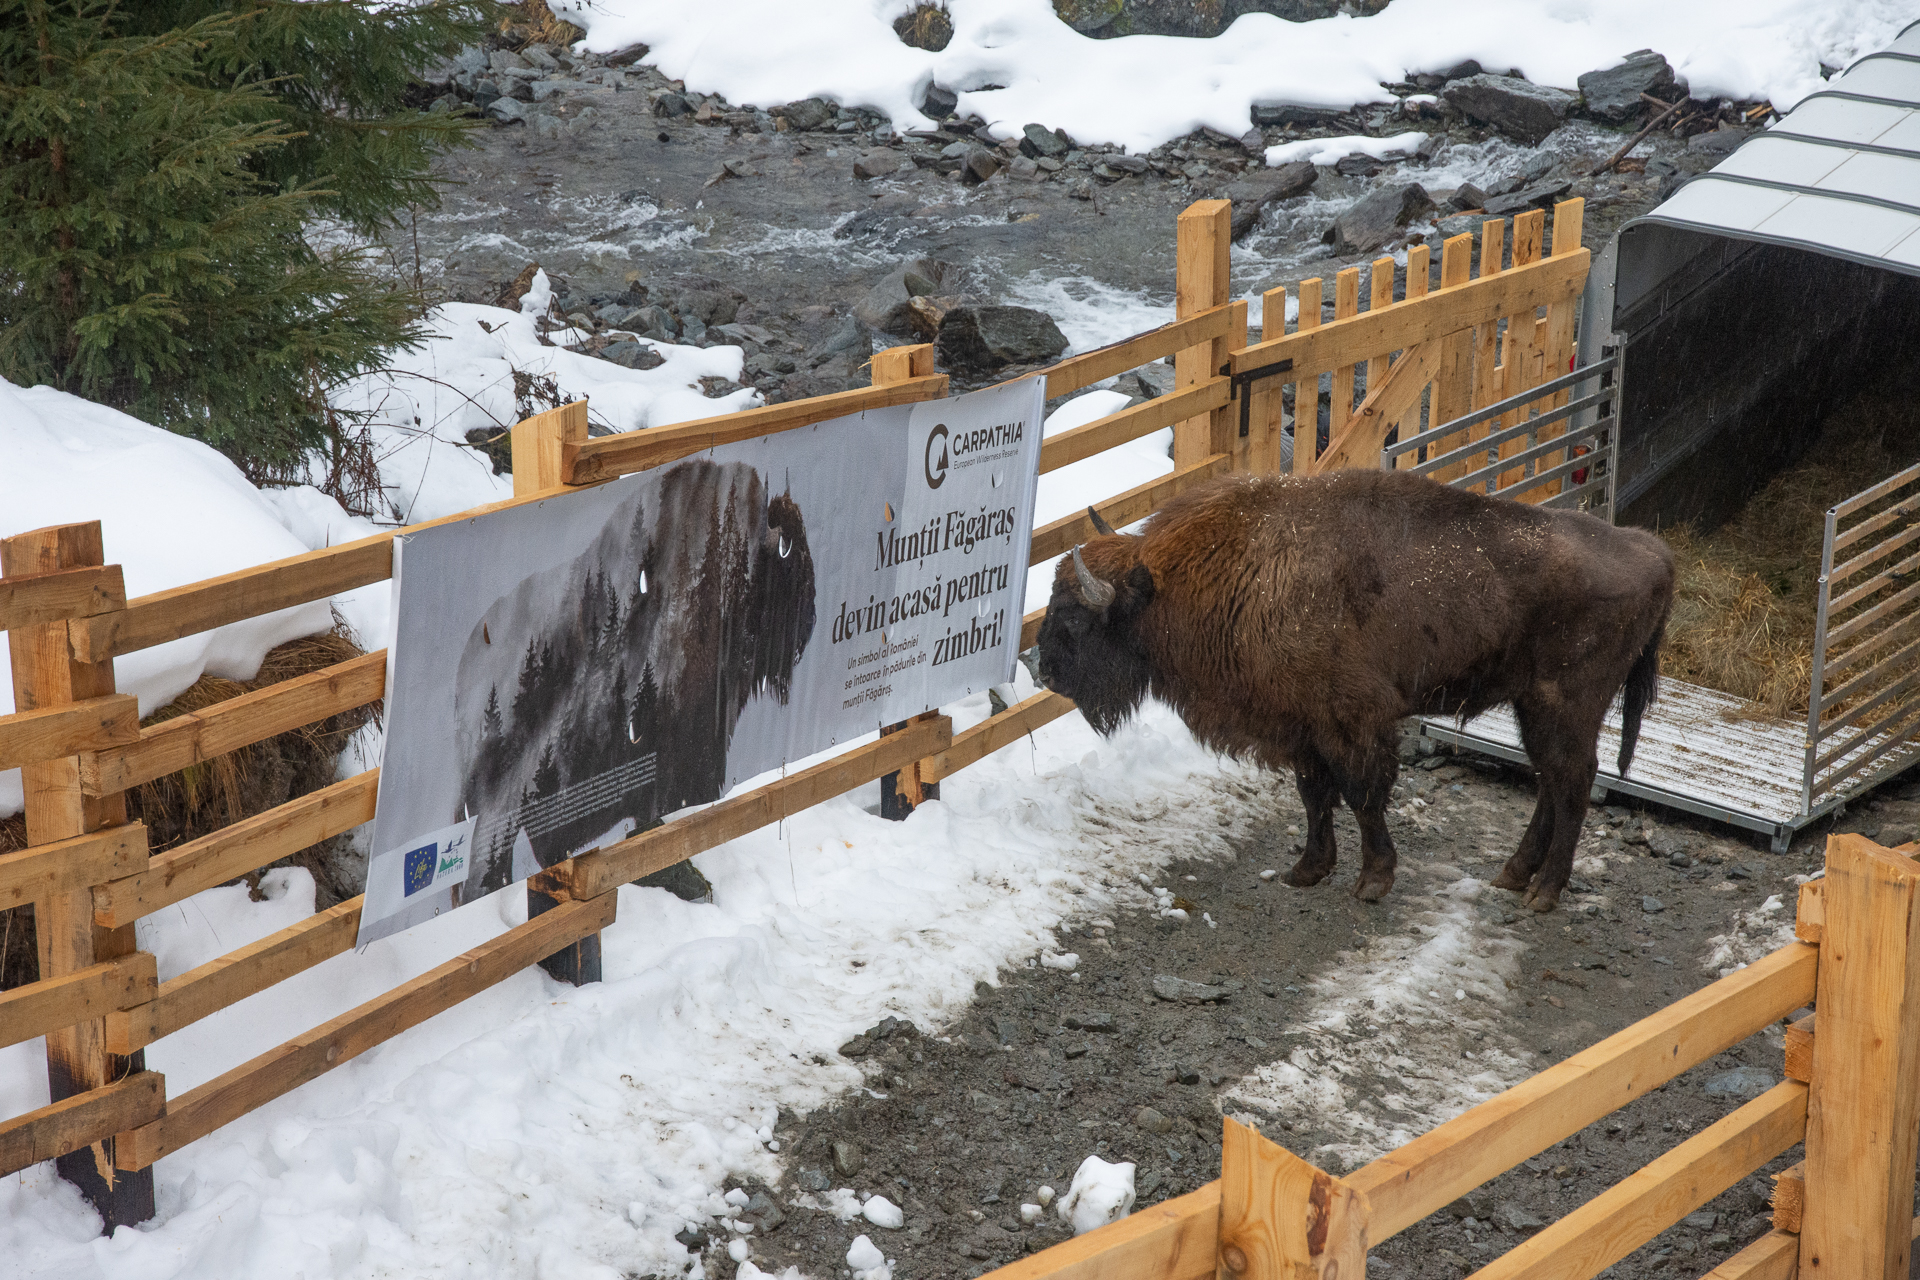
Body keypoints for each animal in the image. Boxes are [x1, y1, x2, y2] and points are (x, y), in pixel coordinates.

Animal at [1044, 470, 1674, 909]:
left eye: (1076, 617)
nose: (1041, 668)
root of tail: (1653, 551)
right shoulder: (1301, 728)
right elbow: (1314, 796)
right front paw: (1308, 870)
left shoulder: (1351, 723)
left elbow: (1362, 794)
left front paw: (1373, 881)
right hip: (1532, 705)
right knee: (1552, 778)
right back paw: (1514, 875)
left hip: (1565, 703)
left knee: (1572, 780)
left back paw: (1544, 893)